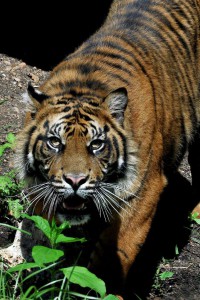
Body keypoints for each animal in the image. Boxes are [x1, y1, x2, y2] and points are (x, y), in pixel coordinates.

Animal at [14, 0, 200, 298]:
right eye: (55, 142)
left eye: (96, 145)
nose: (75, 181)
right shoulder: (41, 190)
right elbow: (52, 242)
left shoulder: (141, 193)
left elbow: (113, 253)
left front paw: (99, 289)